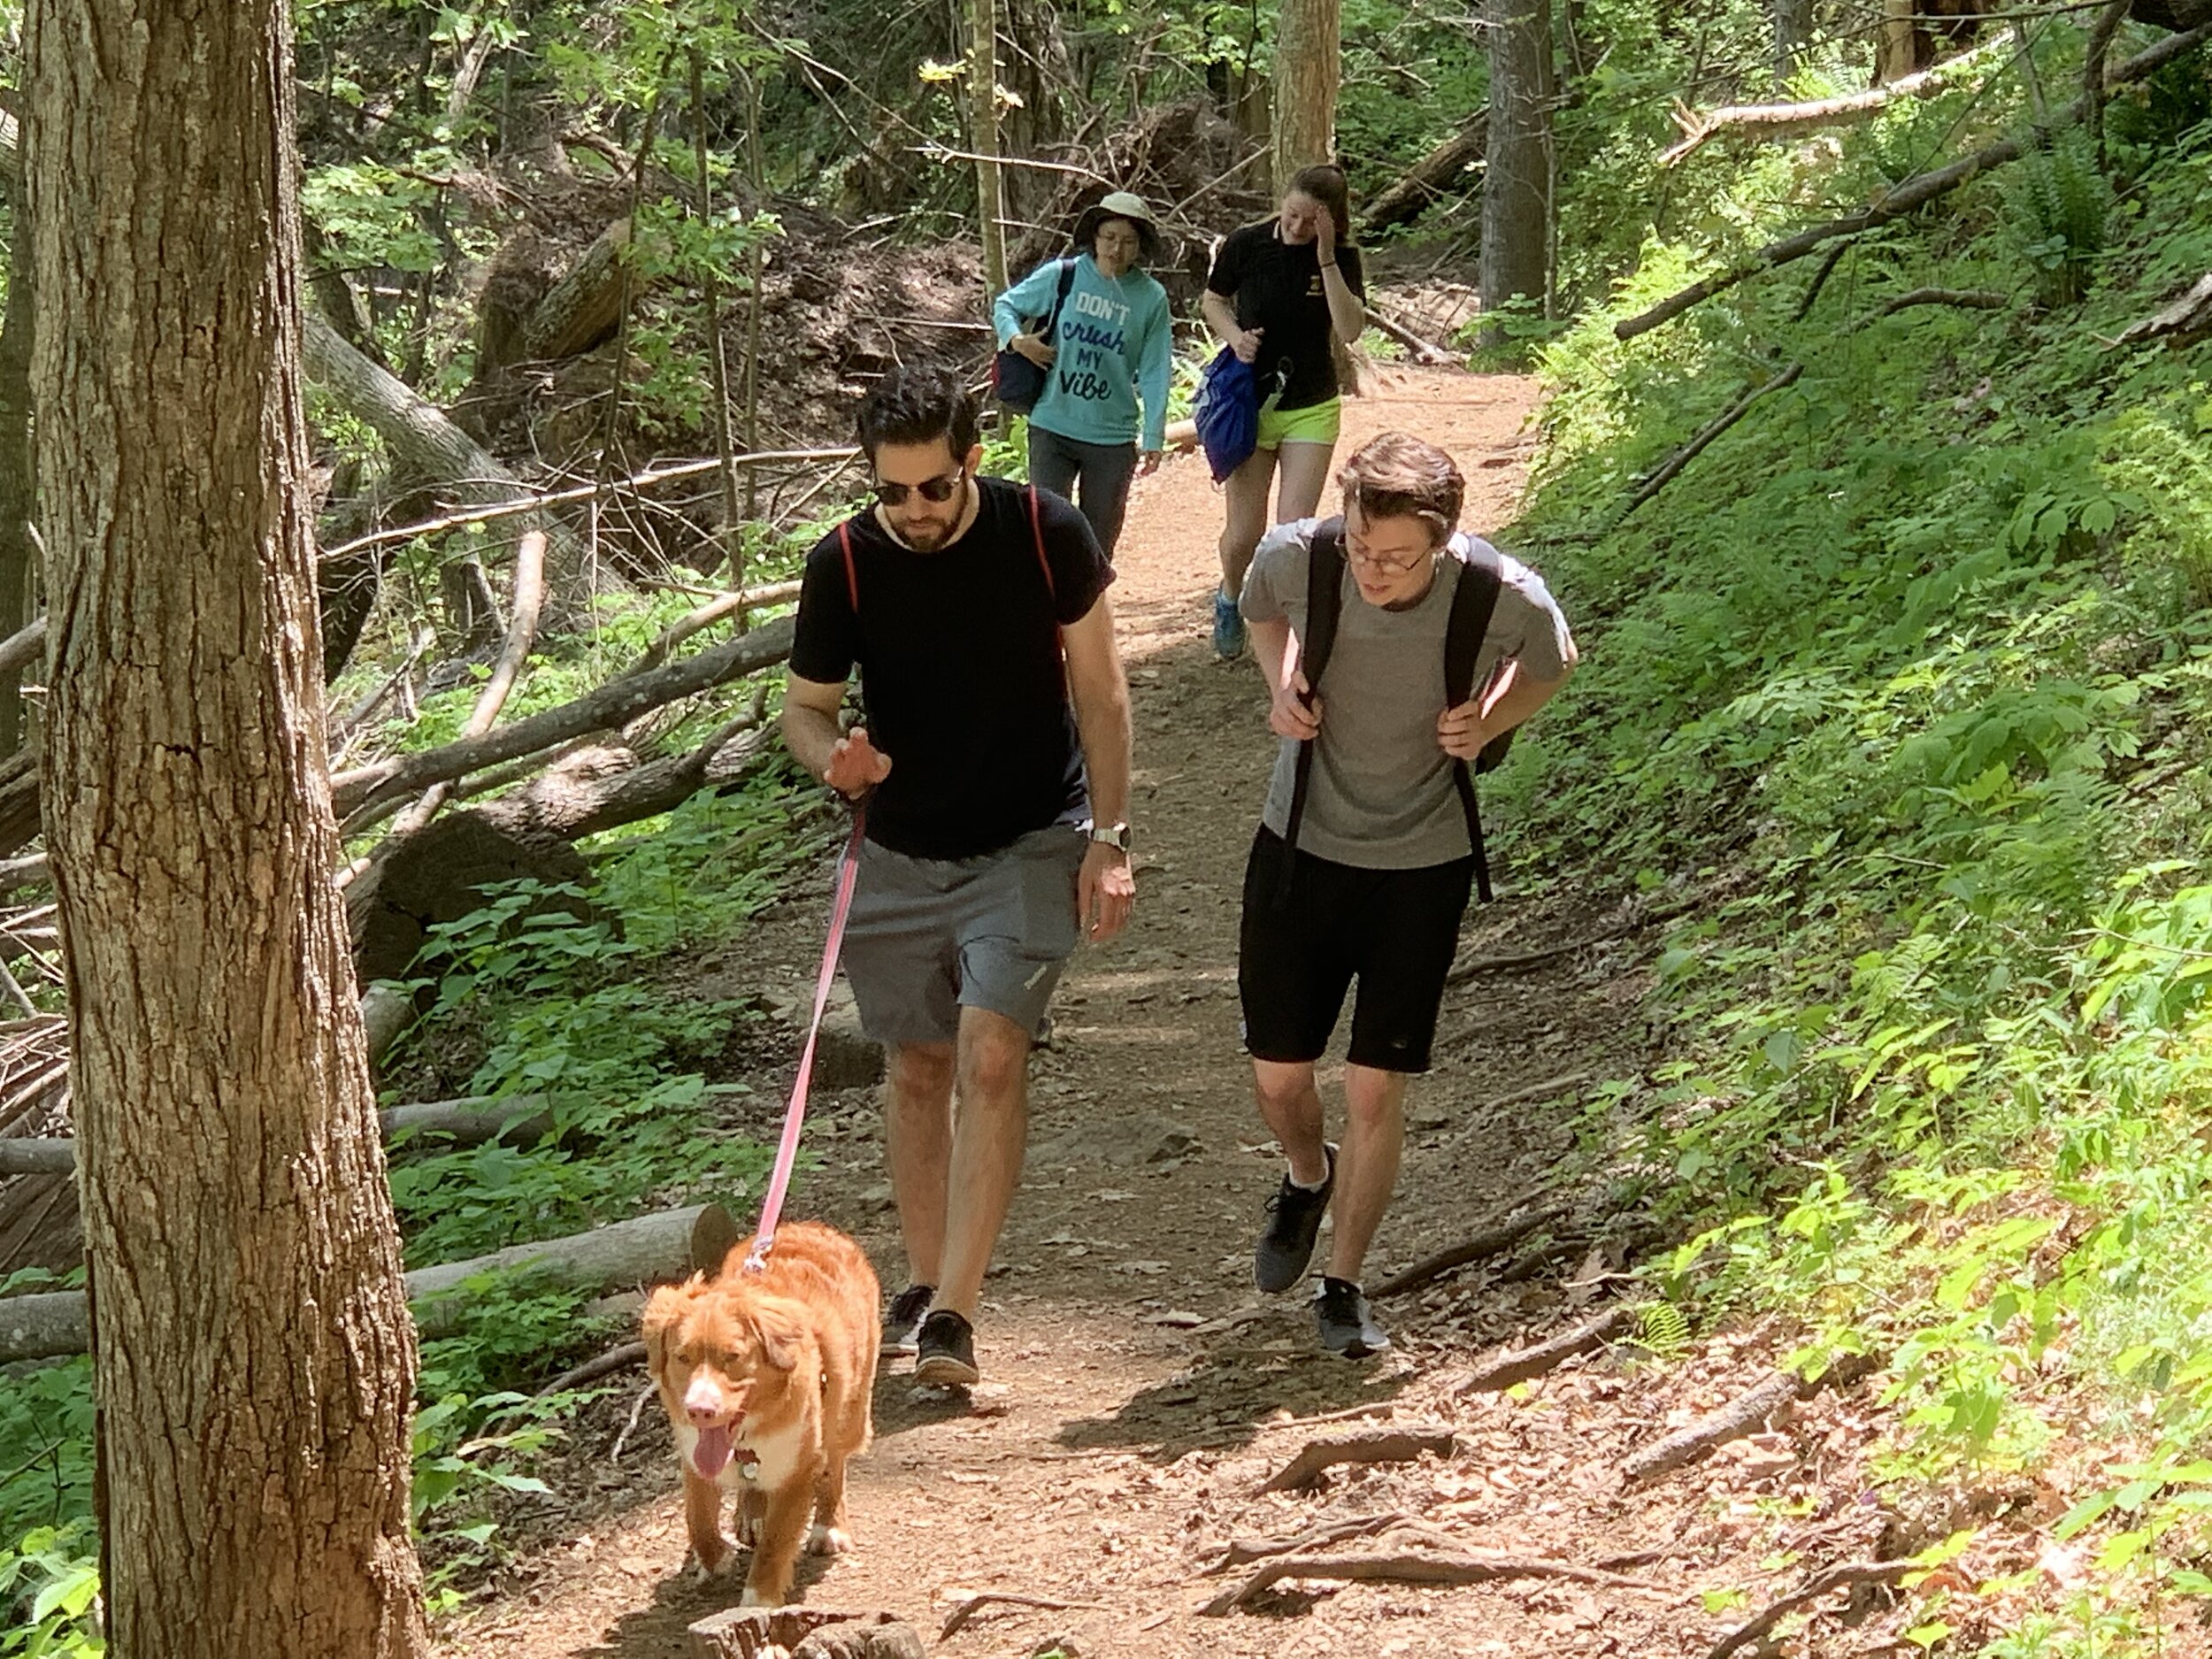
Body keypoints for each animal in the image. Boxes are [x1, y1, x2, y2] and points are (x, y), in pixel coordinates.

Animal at [641, 1221, 880, 1610]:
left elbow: (775, 1543)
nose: (700, 1411)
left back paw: (828, 1527)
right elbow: (698, 1518)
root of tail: (814, 1226)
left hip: (851, 1411)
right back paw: (750, 1515)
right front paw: (715, 1557)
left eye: (733, 1356)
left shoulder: (798, 1470)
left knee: (835, 1467)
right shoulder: (694, 1458)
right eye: (682, 1357)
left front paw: (759, 1600)